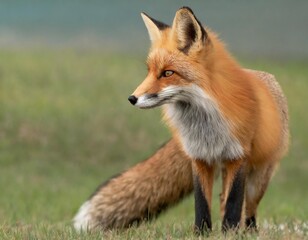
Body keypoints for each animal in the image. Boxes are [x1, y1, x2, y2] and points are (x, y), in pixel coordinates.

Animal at [74, 7, 288, 232]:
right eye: (149, 72)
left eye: (168, 73)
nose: (132, 98)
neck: (206, 127)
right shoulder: (199, 157)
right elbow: (202, 203)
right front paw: (202, 233)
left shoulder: (238, 156)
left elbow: (234, 202)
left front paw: (230, 231)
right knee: (222, 198)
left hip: (260, 176)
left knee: (249, 207)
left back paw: (247, 231)